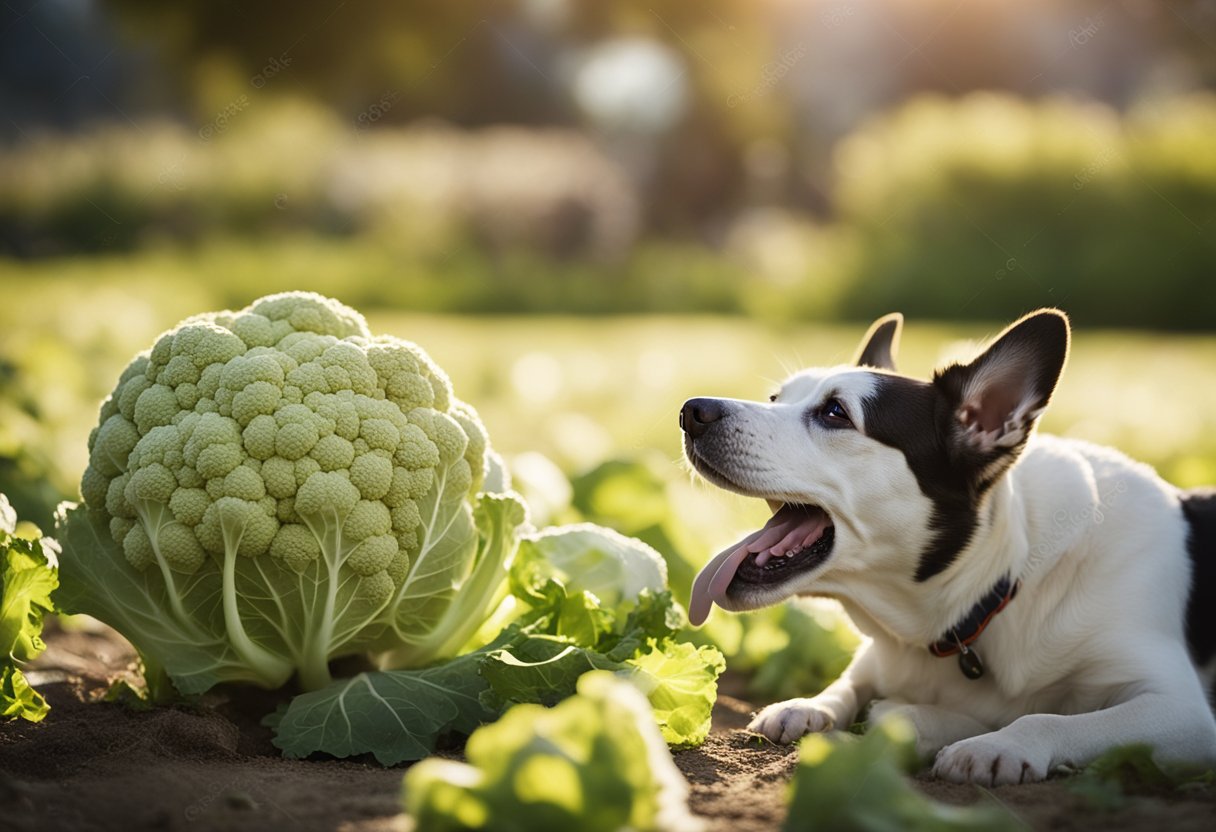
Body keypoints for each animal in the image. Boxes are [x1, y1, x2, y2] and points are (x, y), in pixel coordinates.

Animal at [685, 311, 1216, 788]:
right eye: (776, 398)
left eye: (835, 413)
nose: (692, 411)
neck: (994, 587)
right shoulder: (880, 658)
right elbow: (850, 682)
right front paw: (809, 705)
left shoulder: (1182, 711)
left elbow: (1047, 718)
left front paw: (997, 744)